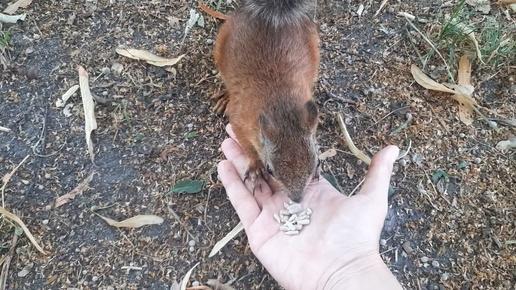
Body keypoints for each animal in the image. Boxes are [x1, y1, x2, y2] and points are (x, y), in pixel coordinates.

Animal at [204, 0, 320, 202]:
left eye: (313, 164)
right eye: (270, 170)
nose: (297, 199)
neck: (281, 103)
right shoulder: (239, 118)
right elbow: (245, 144)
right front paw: (255, 168)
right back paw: (225, 96)